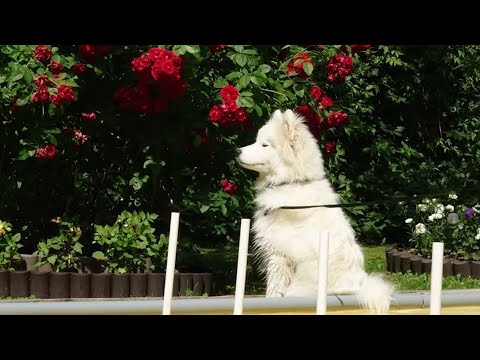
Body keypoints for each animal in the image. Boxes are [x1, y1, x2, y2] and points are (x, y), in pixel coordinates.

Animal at [236, 108, 394, 314]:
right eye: (256, 141)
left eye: (264, 145)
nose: (237, 151)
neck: (291, 182)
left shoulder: (278, 257)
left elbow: (273, 290)